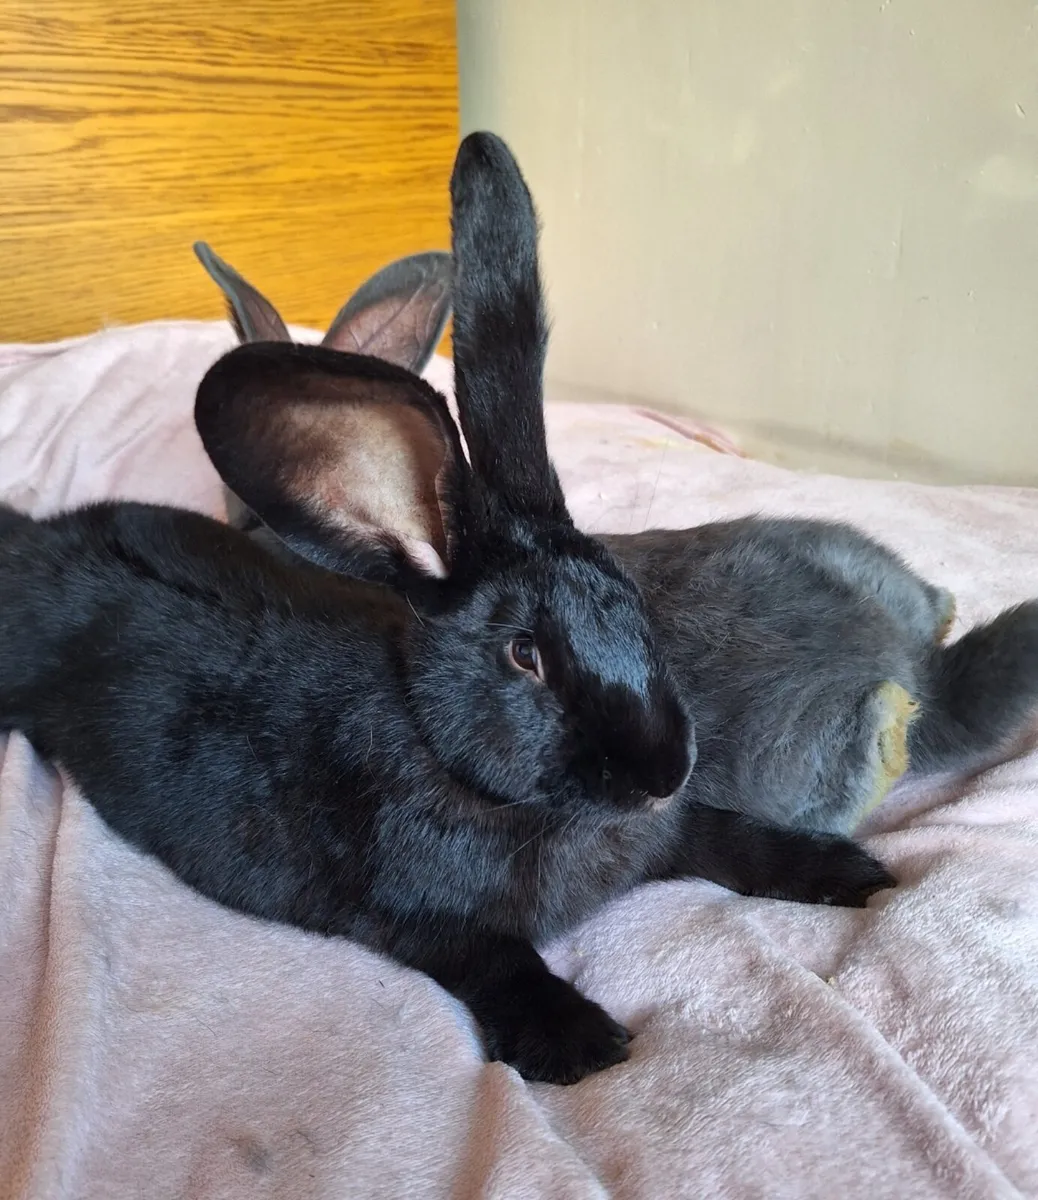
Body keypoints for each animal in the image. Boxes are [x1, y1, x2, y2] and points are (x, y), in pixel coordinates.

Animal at [0, 132, 897, 1088]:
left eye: (635, 605)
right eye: (524, 654)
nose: (664, 772)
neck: (451, 757)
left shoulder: (674, 831)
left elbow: (727, 835)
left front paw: (851, 872)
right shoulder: (410, 912)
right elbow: (494, 955)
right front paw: (578, 1041)